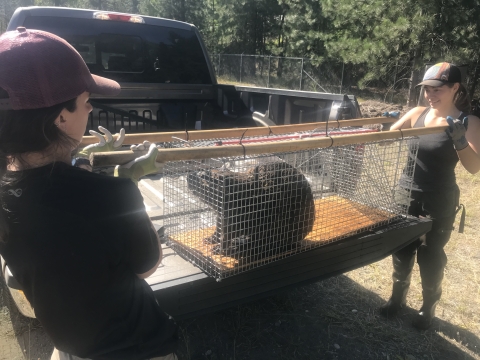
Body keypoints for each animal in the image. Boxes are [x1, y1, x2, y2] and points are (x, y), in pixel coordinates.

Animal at [187, 160, 316, 258]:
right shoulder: (222, 214)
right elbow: (219, 229)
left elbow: (228, 234)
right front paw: (210, 239)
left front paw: (218, 249)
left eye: (203, 177)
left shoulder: (239, 215)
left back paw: (239, 245)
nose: (189, 175)